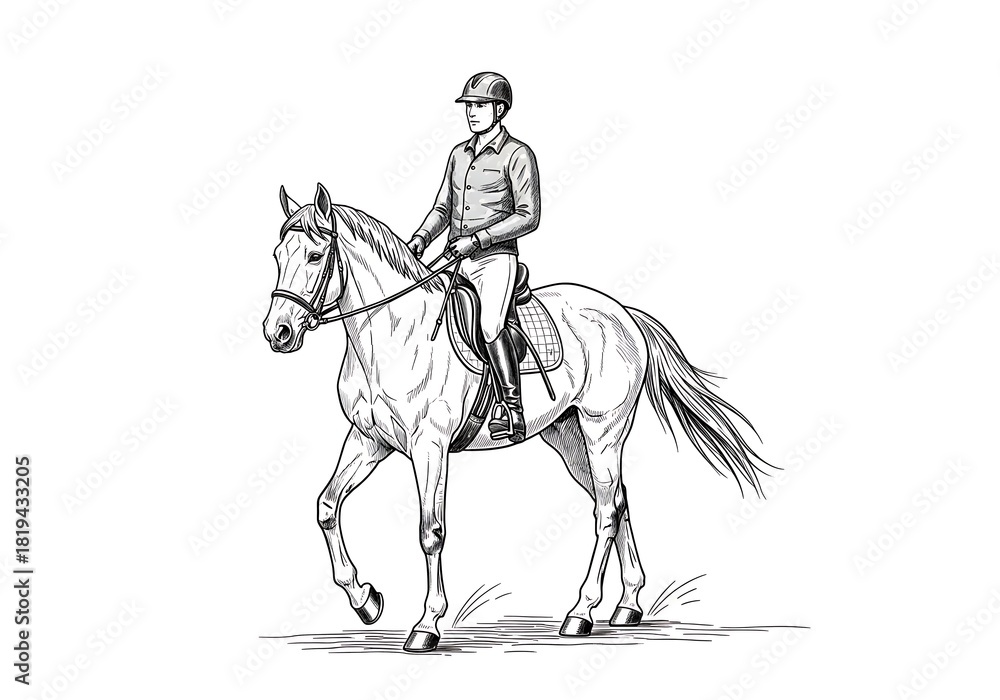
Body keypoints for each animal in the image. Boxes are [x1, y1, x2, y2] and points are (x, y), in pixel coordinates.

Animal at [263, 183, 771, 653]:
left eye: (315, 254)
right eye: (277, 255)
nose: (277, 332)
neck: (394, 336)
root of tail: (622, 313)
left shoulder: (429, 446)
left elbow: (430, 531)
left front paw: (426, 625)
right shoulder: (369, 440)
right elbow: (327, 507)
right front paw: (365, 600)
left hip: (602, 432)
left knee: (606, 511)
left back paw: (581, 612)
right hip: (569, 439)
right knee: (618, 499)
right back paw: (627, 605)